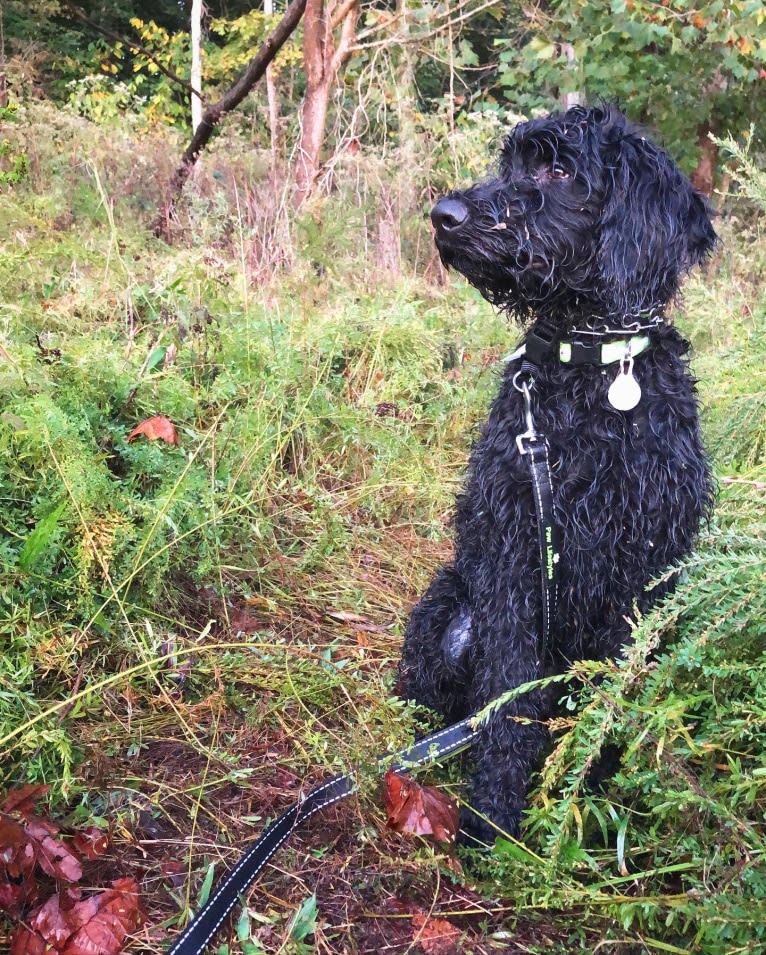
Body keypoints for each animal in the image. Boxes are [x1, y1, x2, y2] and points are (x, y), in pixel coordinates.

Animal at [402, 106, 720, 844]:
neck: (593, 367)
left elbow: (609, 697)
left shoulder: (640, 574)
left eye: (558, 168)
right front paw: (493, 816)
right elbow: (509, 699)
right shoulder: (513, 560)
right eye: (512, 162)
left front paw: (592, 800)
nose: (444, 215)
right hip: (446, 613)